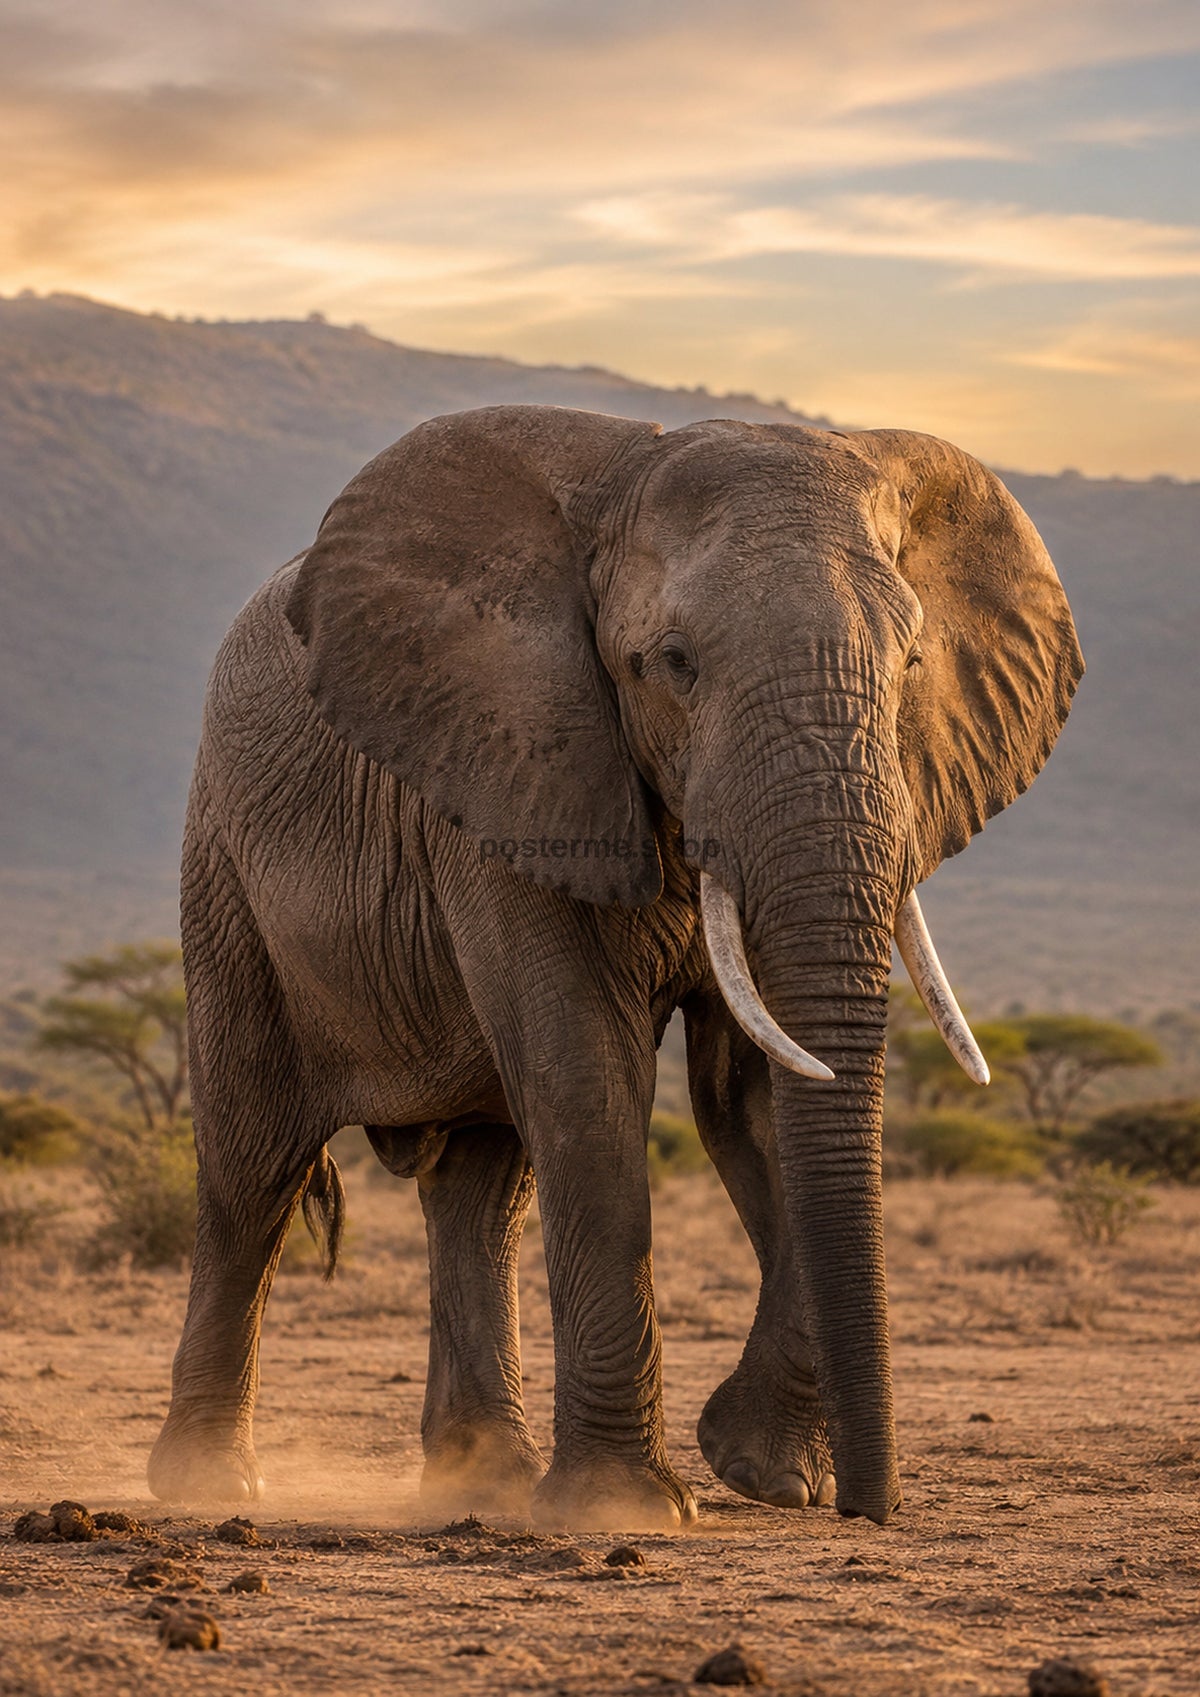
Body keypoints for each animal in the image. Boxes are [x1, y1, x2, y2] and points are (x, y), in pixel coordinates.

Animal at [148, 404, 1082, 1529]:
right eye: (671, 662)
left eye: (907, 666)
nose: (868, 1507)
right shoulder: (515, 765)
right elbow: (588, 1076)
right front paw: (624, 1510)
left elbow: (751, 1098)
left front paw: (760, 1471)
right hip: (225, 869)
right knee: (253, 1170)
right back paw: (209, 1484)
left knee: (480, 1186)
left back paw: (483, 1479)